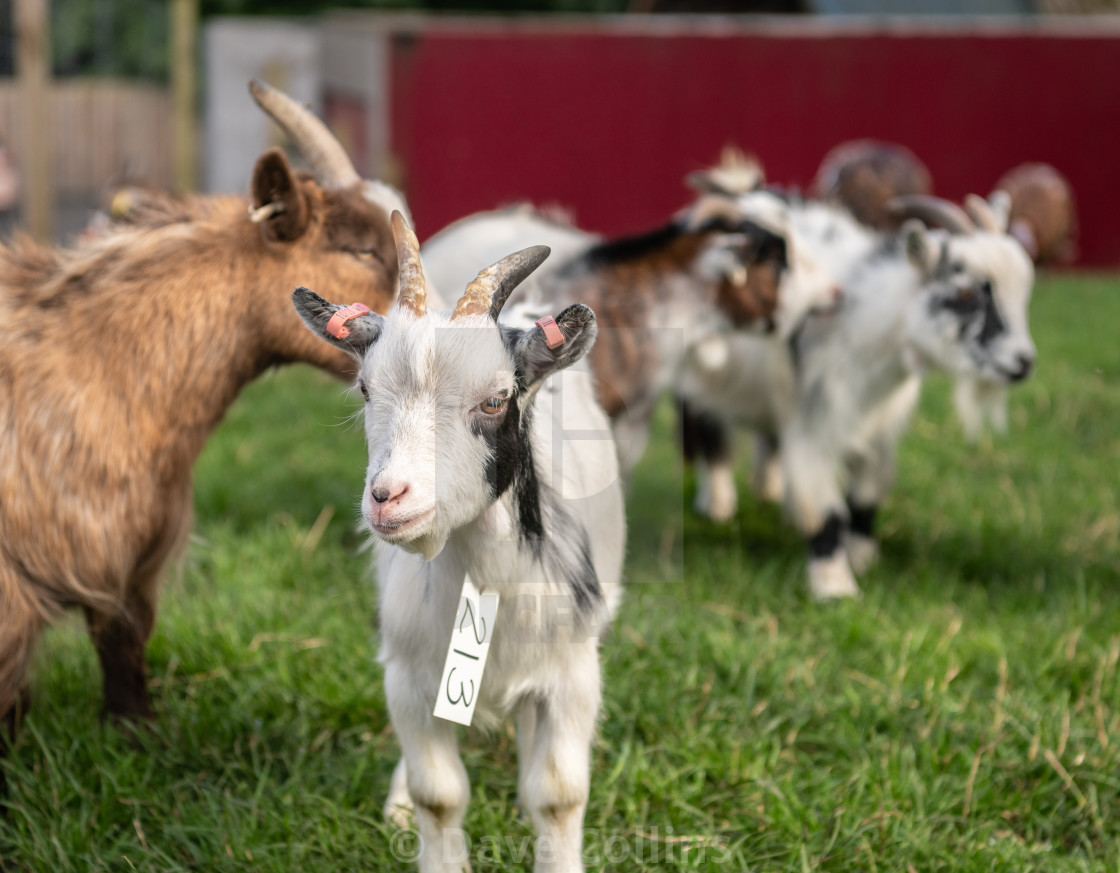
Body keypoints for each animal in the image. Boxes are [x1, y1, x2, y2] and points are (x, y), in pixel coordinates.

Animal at [293, 212, 627, 873]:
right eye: (365, 389)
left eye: (496, 399)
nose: (388, 496)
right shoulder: (410, 674)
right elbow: (439, 794)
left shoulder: (571, 673)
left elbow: (557, 794)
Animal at [676, 191, 1034, 600]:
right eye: (964, 292)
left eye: (1023, 295)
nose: (1023, 362)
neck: (859, 325)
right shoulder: (813, 421)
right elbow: (825, 509)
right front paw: (834, 588)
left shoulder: (878, 427)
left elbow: (867, 495)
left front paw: (862, 557)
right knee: (703, 425)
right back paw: (717, 504)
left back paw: (771, 494)